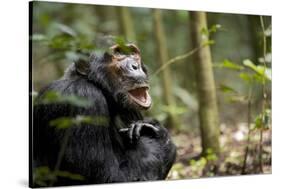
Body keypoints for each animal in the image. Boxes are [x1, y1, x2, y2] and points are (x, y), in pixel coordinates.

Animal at [31, 43, 176, 187]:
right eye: (118, 53)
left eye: (132, 53)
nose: (135, 65)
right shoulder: (83, 98)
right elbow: (109, 177)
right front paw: (154, 135)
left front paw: (153, 128)